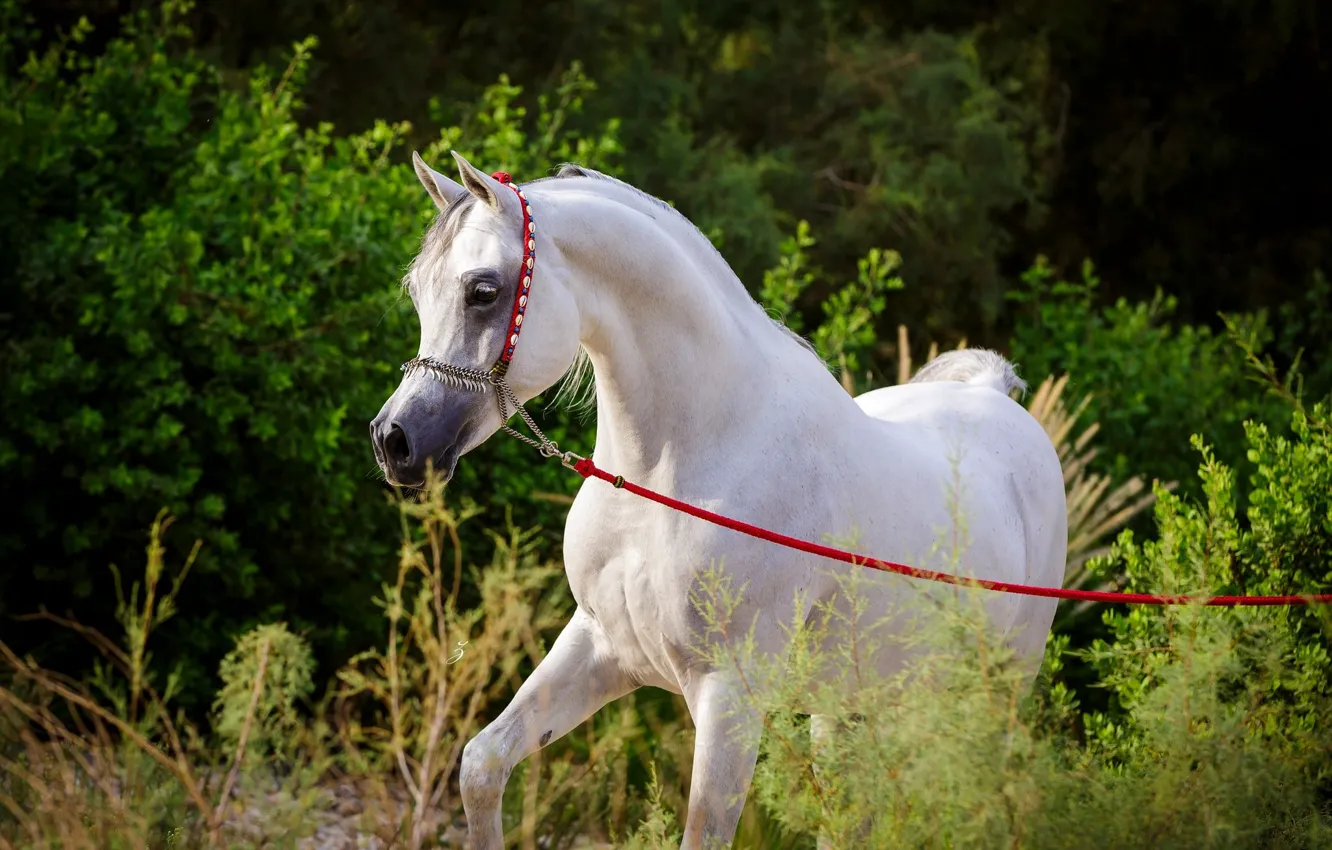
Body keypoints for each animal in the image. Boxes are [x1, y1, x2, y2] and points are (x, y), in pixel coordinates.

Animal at [369, 151, 1067, 848]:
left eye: (483, 290)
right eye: (418, 291)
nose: (394, 441)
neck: (672, 472)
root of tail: (992, 395)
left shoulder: (730, 693)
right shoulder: (599, 646)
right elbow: (482, 766)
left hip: (1000, 689)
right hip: (846, 708)